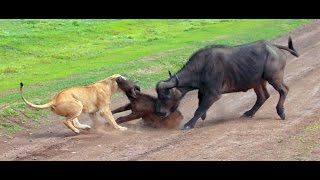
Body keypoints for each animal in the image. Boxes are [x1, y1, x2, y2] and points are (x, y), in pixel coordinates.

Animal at [156, 37, 298, 129]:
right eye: (159, 96)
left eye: (166, 96)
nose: (160, 113)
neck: (201, 68)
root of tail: (273, 46)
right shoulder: (203, 90)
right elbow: (200, 102)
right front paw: (203, 116)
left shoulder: (213, 94)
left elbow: (199, 109)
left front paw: (189, 124)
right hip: (257, 82)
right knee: (263, 96)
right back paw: (249, 113)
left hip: (273, 77)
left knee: (284, 90)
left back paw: (281, 112)